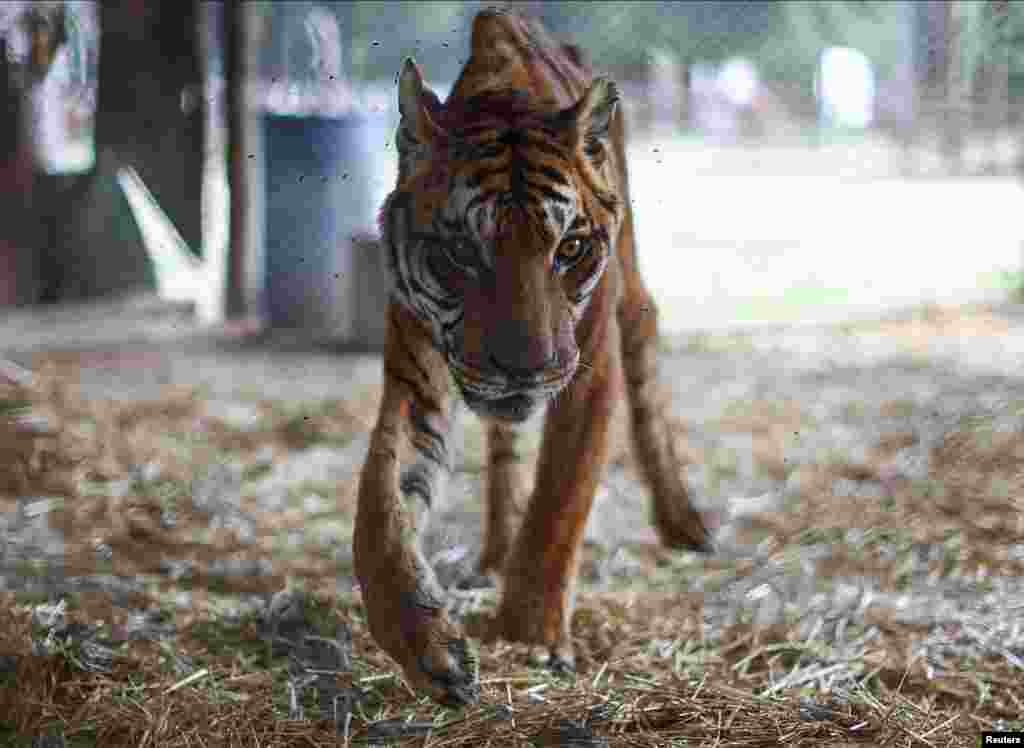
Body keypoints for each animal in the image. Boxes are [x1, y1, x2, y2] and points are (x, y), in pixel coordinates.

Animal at [354, 7, 712, 704]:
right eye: (461, 252)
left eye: (569, 248)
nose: (526, 368)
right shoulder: (416, 383)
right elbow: (380, 509)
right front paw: (426, 641)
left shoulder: (590, 371)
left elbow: (560, 501)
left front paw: (531, 640)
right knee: (503, 447)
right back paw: (495, 551)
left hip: (631, 298)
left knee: (646, 352)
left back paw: (682, 523)